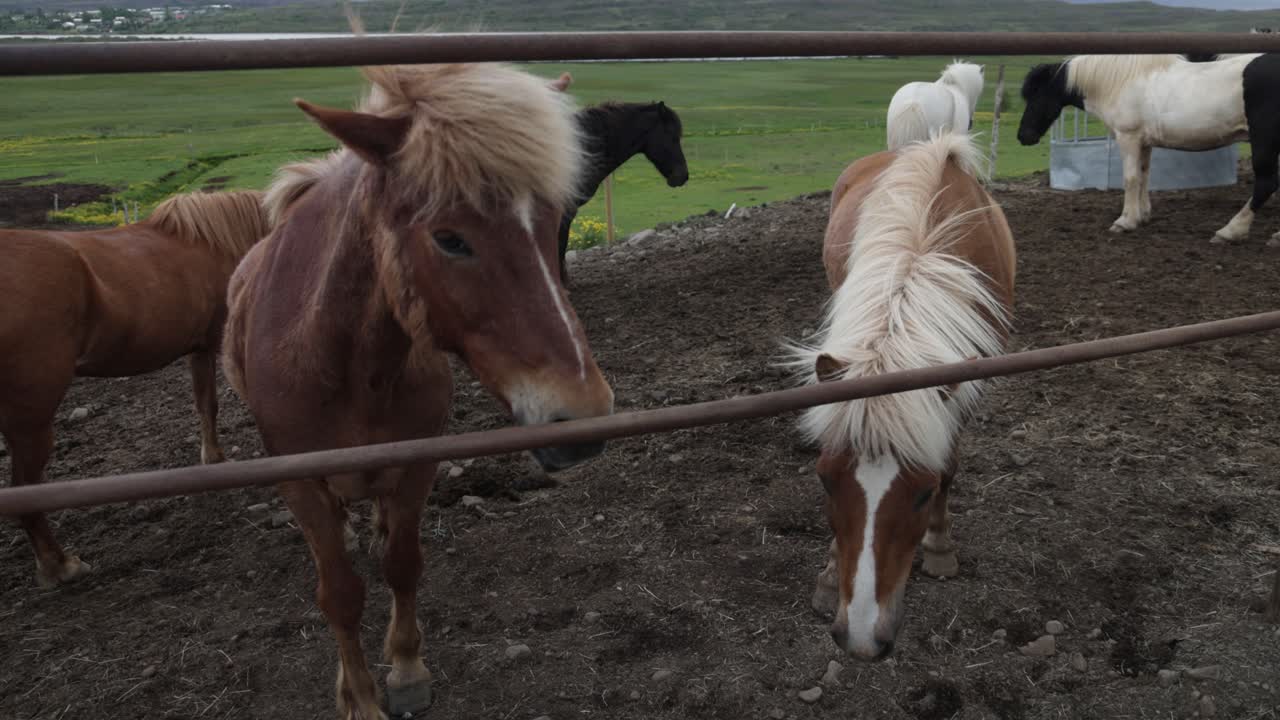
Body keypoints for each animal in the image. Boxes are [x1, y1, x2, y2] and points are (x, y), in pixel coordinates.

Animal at [0, 190, 269, 587]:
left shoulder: (200, 348)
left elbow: (205, 404)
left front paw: (213, 459)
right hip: (31, 420)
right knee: (25, 490)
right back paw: (59, 566)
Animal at [222, 60, 615, 719]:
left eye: (551, 222)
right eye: (449, 238)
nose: (582, 417)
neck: (346, 367)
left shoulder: (417, 464)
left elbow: (403, 565)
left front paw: (407, 669)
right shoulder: (299, 482)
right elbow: (340, 592)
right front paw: (359, 696)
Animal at [788, 132, 1016, 661]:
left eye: (924, 492)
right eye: (824, 479)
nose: (861, 637)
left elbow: (950, 462)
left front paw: (939, 548)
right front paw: (830, 577)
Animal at [1017, 53, 1280, 244]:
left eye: (1036, 95)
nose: (1023, 136)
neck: (1119, 82)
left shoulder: (1128, 138)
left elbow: (1131, 178)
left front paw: (1125, 221)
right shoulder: (1144, 142)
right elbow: (1144, 176)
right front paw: (1142, 215)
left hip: (1264, 142)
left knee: (1266, 183)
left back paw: (1230, 231)